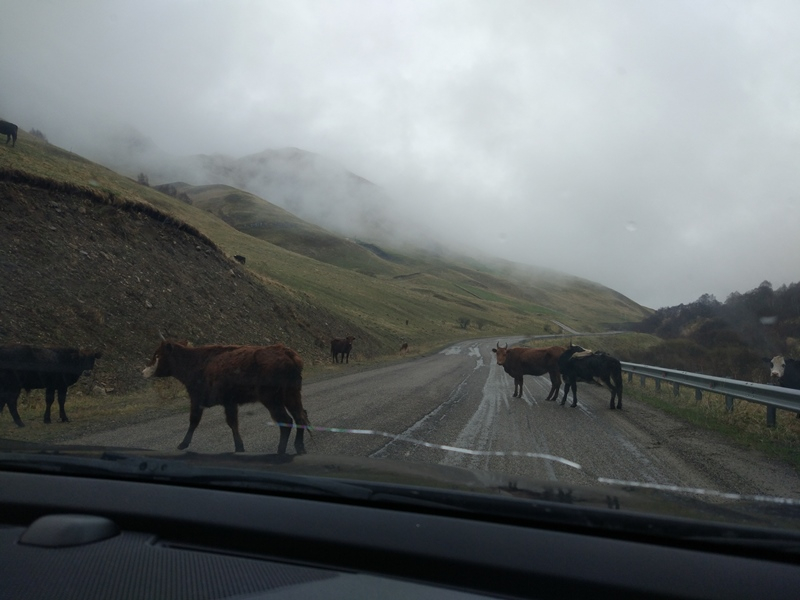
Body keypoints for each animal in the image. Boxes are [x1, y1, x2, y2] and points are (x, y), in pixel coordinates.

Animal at [142, 340, 308, 452]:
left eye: (157, 355)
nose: (143, 371)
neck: (194, 362)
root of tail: (288, 353)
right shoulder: (229, 402)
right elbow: (233, 423)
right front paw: (239, 447)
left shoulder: (196, 399)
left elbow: (194, 421)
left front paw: (182, 444)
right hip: (292, 395)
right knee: (301, 416)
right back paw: (299, 447)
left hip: (272, 399)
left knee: (286, 421)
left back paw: (280, 451)